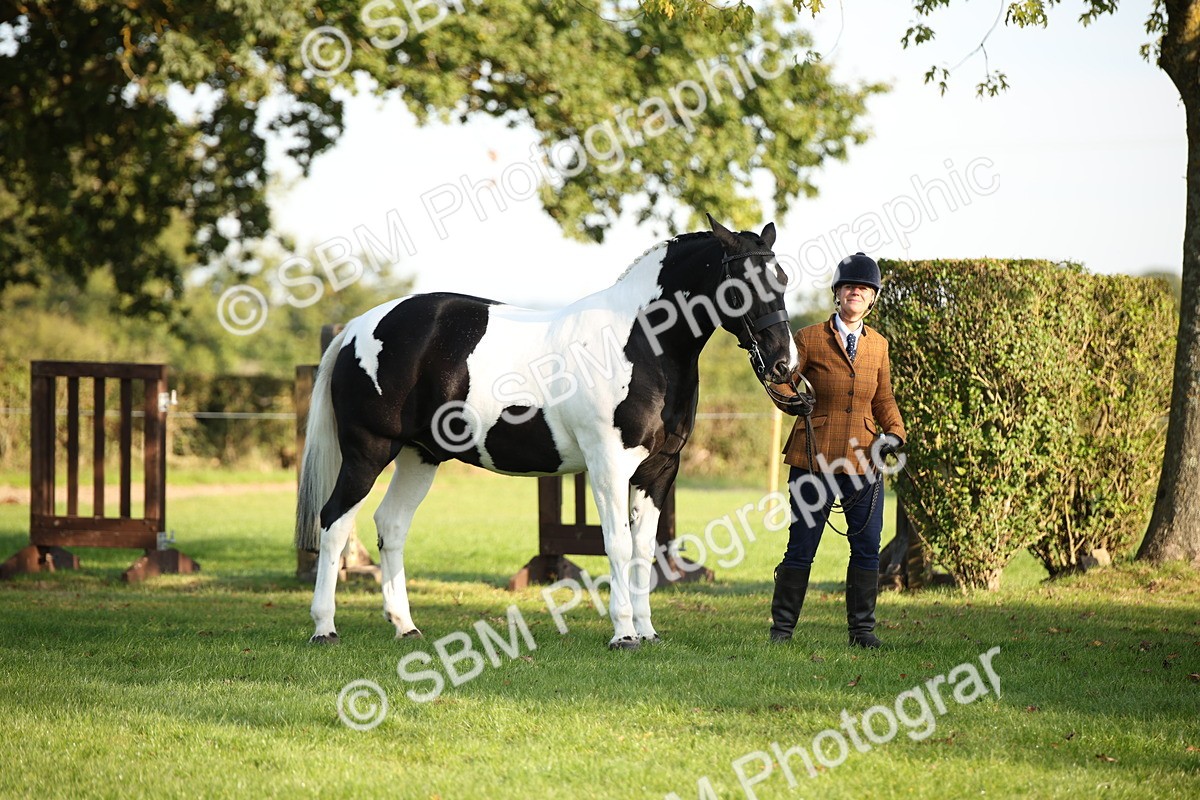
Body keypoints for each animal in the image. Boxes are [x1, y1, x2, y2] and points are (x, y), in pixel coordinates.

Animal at [295, 215, 797, 649]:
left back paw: (405, 626)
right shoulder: (608, 465)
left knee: (392, 525)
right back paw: (324, 627)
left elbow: (644, 549)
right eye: (741, 284)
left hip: (421, 456)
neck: (640, 345)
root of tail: (356, 329)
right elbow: (617, 544)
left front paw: (647, 631)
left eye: (782, 280)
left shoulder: (659, 471)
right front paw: (624, 634)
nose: (783, 364)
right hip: (368, 450)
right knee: (334, 521)